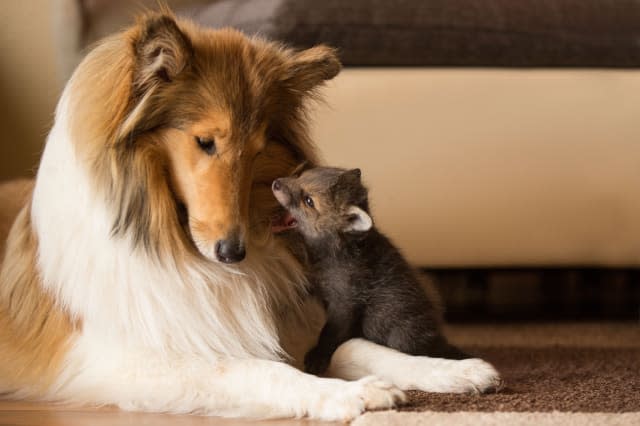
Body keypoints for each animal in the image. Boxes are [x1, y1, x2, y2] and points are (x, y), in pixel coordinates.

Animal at [0, 11, 500, 422]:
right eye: (205, 142)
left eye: (258, 150)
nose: (232, 253)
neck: (172, 240)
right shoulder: (122, 357)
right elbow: (252, 369)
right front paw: (351, 394)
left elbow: (355, 344)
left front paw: (451, 369)